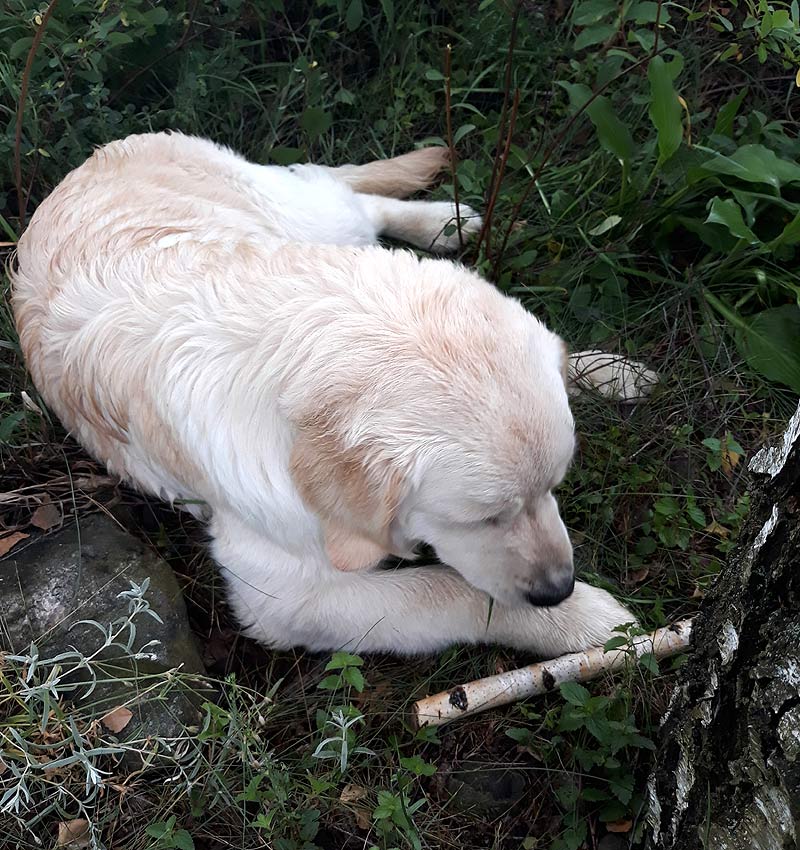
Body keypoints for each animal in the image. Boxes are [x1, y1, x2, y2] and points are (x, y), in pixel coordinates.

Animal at [10, 132, 656, 656]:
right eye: (484, 518)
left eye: (555, 487)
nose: (557, 589)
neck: (301, 333)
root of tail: (93, 158)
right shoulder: (288, 599)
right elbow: (453, 591)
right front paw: (588, 623)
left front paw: (607, 372)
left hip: (312, 220)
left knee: (347, 192)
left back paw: (448, 226)